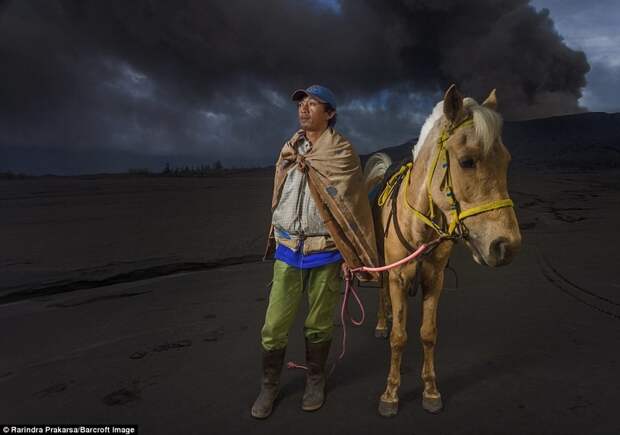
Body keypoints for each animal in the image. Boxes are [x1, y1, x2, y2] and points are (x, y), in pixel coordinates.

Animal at [364, 85, 524, 418]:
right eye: (466, 161)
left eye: (506, 161)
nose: (507, 245)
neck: (420, 227)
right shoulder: (398, 276)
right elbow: (399, 338)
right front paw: (390, 395)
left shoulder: (434, 280)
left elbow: (428, 334)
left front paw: (430, 391)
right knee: (382, 294)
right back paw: (382, 322)